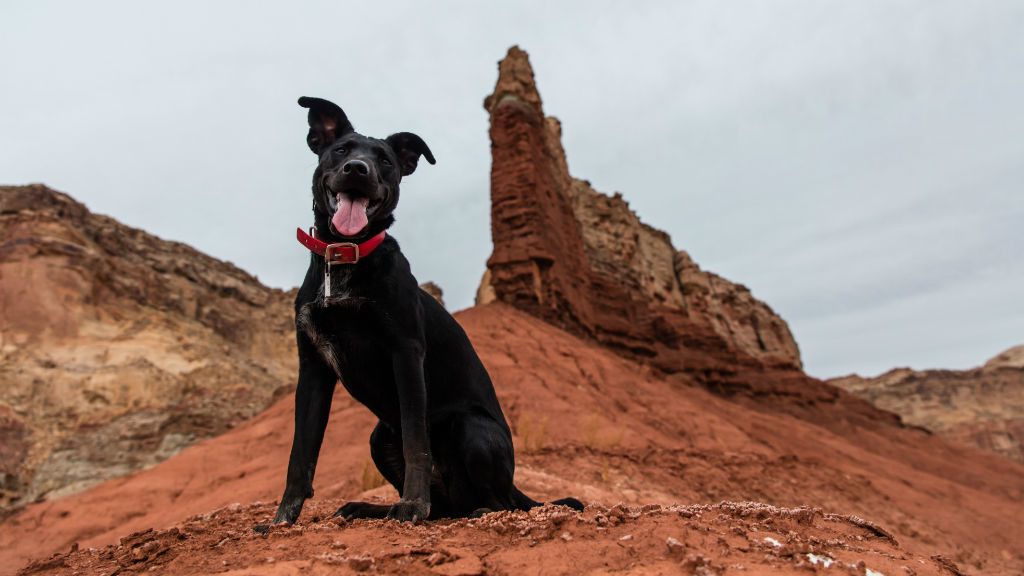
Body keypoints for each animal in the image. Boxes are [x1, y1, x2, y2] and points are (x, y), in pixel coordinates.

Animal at [268, 96, 581, 522]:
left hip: (470, 427)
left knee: (496, 503)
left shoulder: (405, 352)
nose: (357, 170)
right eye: (342, 151)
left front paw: (412, 504)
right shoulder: (313, 367)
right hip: (380, 435)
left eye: (384, 160)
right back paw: (370, 507)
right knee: (445, 508)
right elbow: (300, 453)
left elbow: (417, 440)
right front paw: (282, 519)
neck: (346, 258)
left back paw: (474, 510)